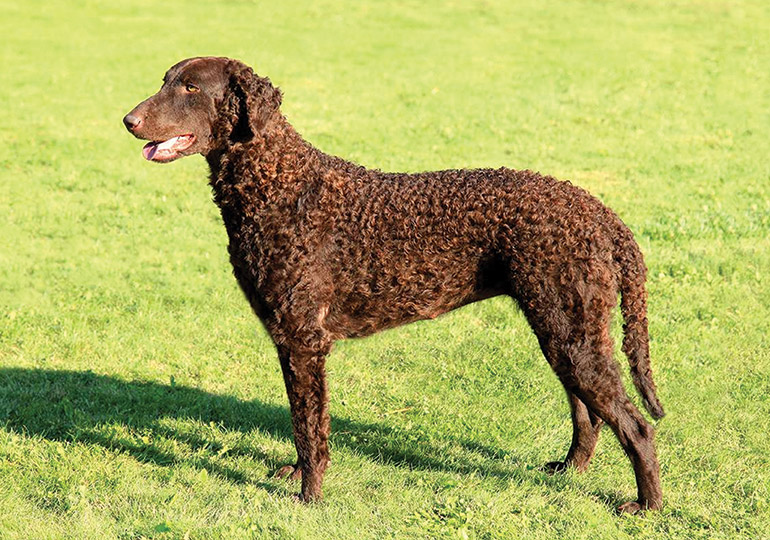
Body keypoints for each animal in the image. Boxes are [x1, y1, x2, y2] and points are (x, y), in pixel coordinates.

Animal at [123, 57, 664, 512]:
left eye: (191, 87)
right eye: (165, 80)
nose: (128, 120)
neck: (282, 187)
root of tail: (600, 213)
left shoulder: (304, 340)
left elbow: (310, 425)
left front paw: (308, 496)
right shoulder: (289, 341)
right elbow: (301, 420)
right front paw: (297, 474)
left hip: (570, 332)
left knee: (635, 425)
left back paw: (647, 506)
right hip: (564, 329)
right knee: (589, 414)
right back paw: (568, 471)